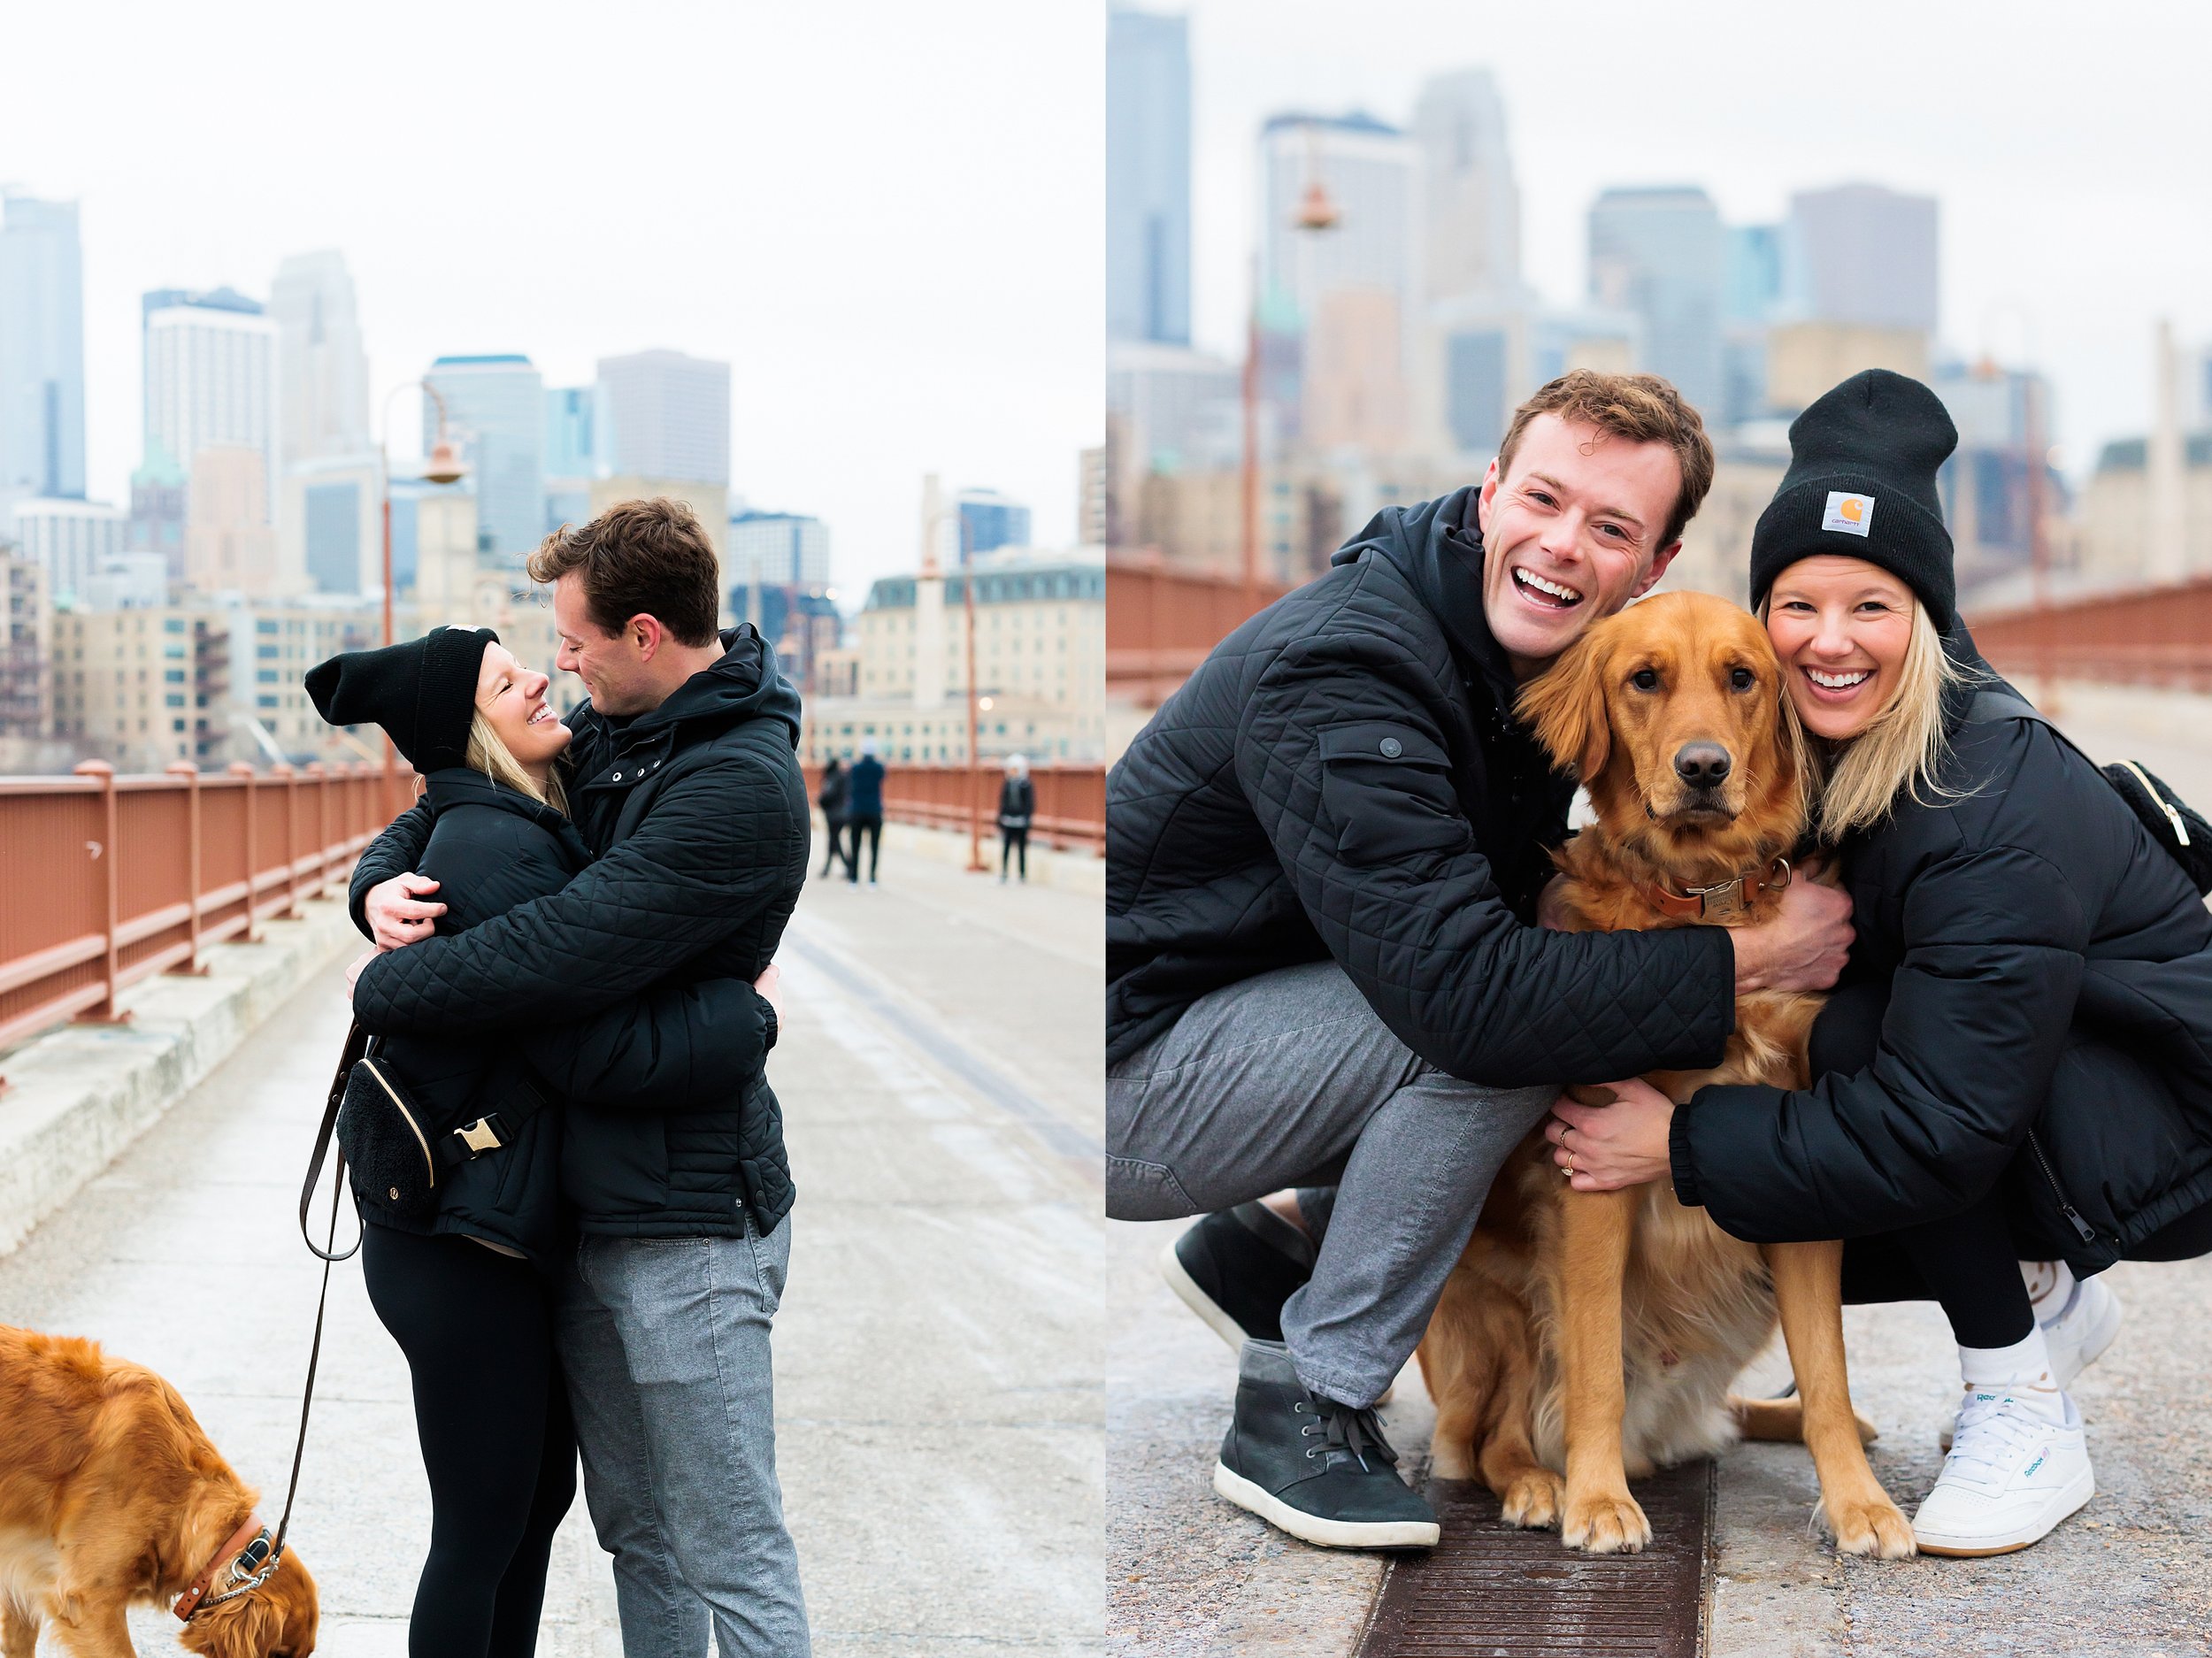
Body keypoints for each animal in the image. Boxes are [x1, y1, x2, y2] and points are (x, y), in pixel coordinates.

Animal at [1416, 592, 1920, 1565]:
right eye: (1643, 679)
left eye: (1742, 677)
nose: (1703, 768)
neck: (1704, 907)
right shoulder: (1591, 1174)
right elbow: (1593, 1371)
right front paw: (1596, 1497)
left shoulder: (1789, 1160)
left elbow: (1826, 1376)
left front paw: (1859, 1503)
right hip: (1492, 1302)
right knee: (1493, 1435)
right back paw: (1539, 1483)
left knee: (1734, 1408)